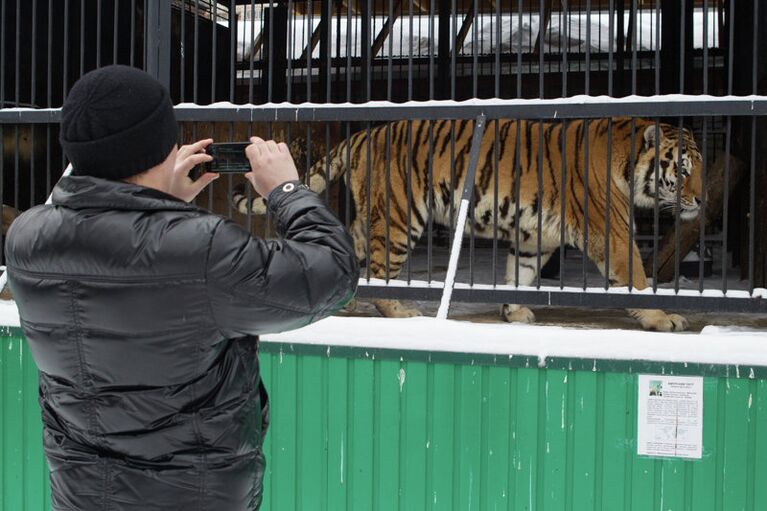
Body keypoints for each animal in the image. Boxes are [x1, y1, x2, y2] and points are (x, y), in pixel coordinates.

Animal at [232, 117, 704, 332]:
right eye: (682, 171)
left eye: (698, 169)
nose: (701, 198)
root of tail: (364, 134)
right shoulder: (613, 232)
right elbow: (637, 276)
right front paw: (663, 318)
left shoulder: (535, 236)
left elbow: (520, 273)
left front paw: (514, 312)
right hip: (401, 217)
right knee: (381, 271)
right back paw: (400, 311)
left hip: (373, 217)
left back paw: (346, 305)